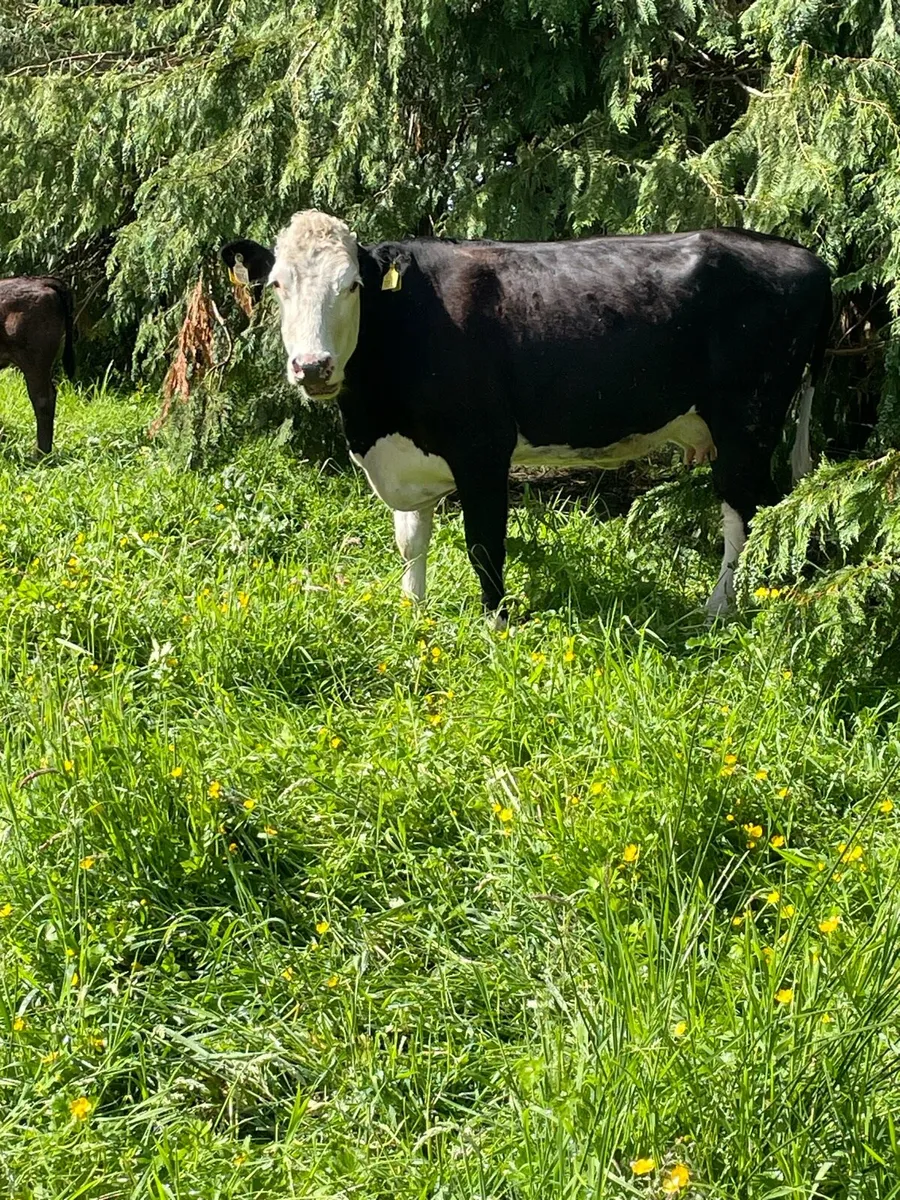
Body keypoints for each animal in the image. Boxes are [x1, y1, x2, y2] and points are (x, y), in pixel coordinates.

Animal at [221, 211, 831, 623]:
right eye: (277, 285)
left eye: (351, 286)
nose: (312, 366)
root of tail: (805, 256)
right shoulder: (405, 456)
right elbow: (411, 540)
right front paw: (414, 612)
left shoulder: (482, 450)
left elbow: (483, 544)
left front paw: (495, 625)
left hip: (747, 424)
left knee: (753, 512)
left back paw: (724, 608)